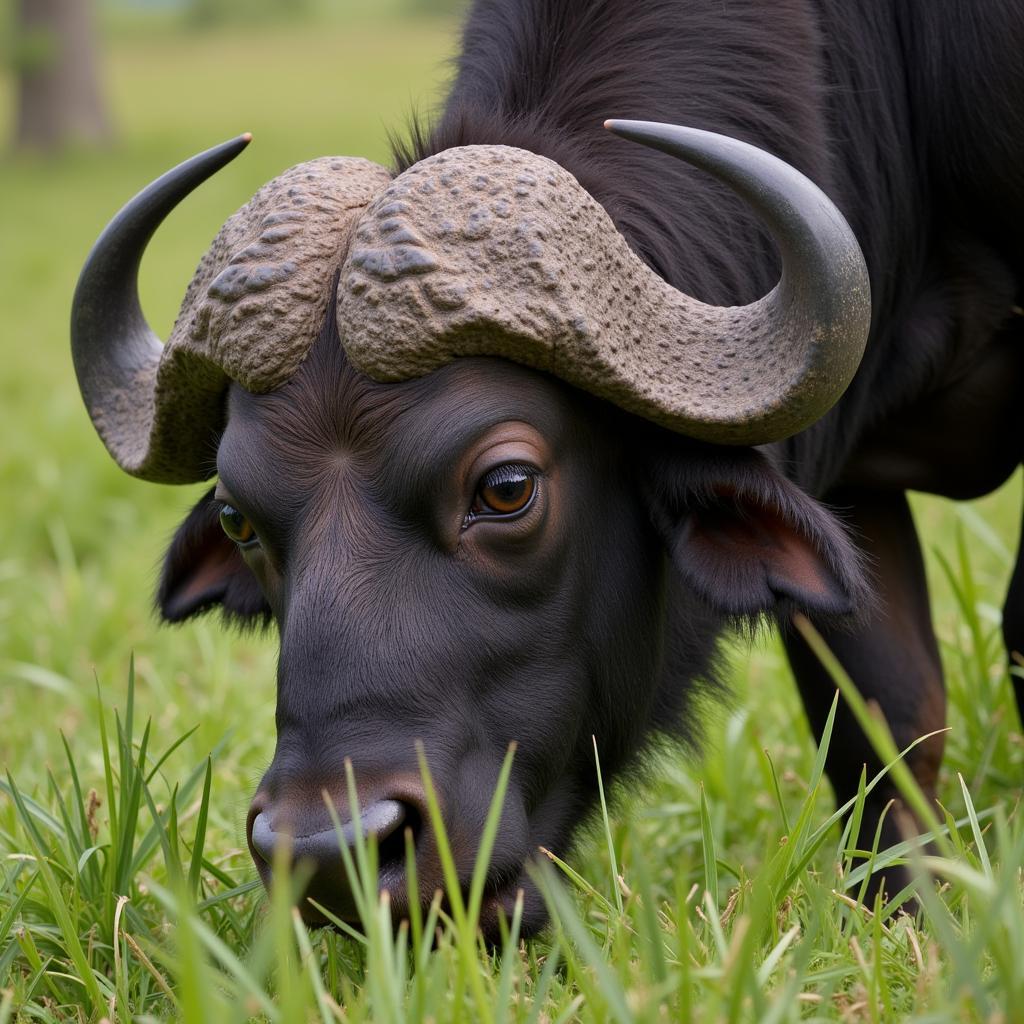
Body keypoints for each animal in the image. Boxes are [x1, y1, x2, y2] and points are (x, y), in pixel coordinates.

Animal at [68, 0, 1019, 937]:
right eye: (239, 519)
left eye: (506, 488)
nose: (330, 852)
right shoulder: (854, 479)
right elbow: (882, 711)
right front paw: (904, 916)